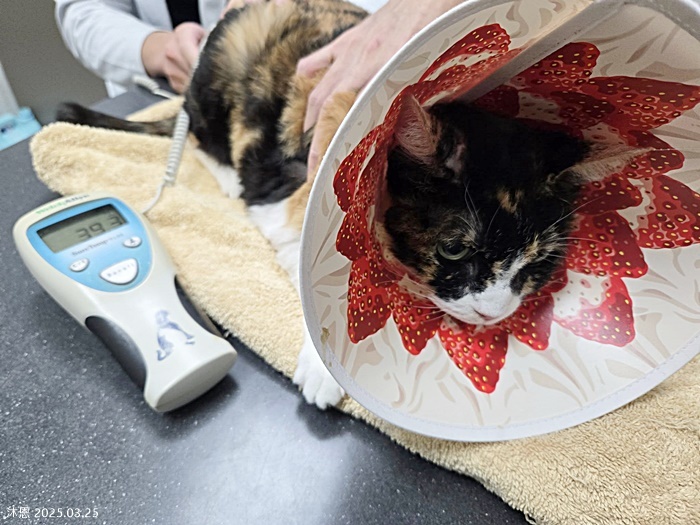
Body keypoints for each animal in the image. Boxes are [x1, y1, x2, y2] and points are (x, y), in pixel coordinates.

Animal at [56, 0, 631, 409]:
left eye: (539, 263)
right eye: (453, 249)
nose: (494, 314)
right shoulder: (292, 200)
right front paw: (321, 369)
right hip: (217, 90)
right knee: (198, 137)